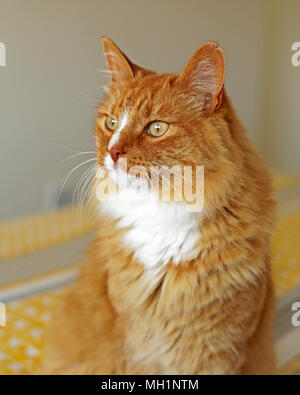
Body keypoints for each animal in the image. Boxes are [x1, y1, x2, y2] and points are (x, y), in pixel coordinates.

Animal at [42, 36, 276, 374]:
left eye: (156, 129)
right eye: (112, 123)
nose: (112, 151)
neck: (161, 215)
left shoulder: (215, 349)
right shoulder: (136, 344)